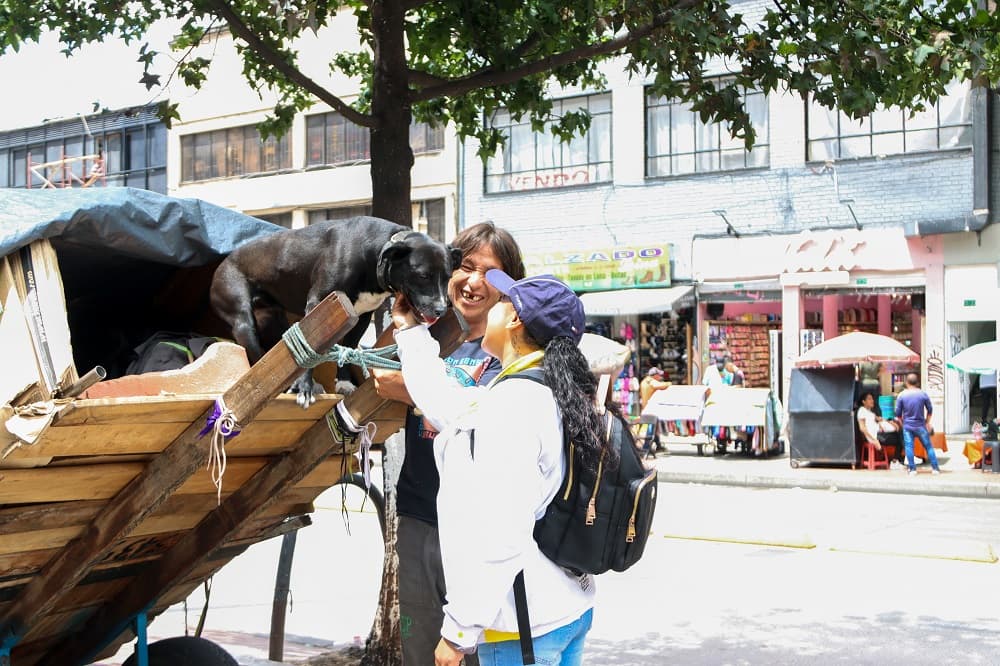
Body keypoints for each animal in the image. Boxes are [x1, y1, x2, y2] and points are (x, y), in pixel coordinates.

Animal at [213, 218, 462, 402]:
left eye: (448, 277)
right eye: (423, 276)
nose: (441, 309)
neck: (375, 252)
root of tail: (223, 262)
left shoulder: (361, 317)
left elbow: (349, 347)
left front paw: (344, 383)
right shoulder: (318, 303)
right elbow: (311, 350)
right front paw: (305, 387)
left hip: (276, 319)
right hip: (242, 319)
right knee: (256, 355)